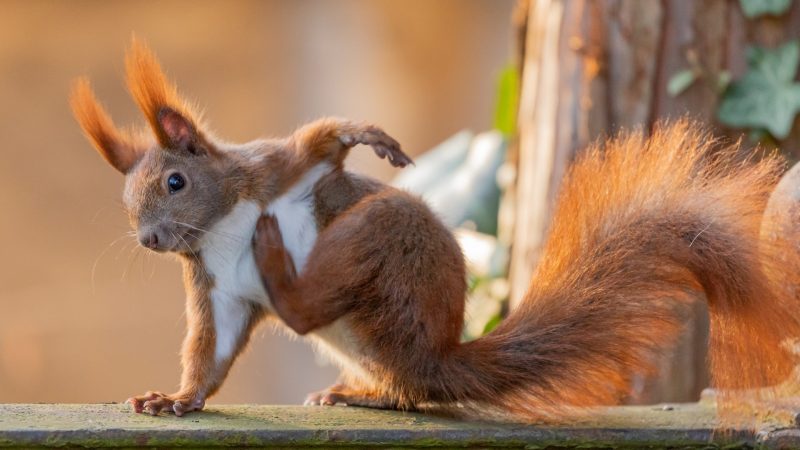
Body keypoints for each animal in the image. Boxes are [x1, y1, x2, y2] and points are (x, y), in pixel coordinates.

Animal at [72, 40, 800, 420]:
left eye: (175, 182)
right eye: (127, 204)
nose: (150, 240)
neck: (225, 223)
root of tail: (437, 354)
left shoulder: (275, 166)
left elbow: (323, 141)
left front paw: (372, 139)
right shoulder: (218, 288)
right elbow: (211, 351)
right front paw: (176, 398)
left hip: (387, 236)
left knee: (325, 315)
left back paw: (281, 262)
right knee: (400, 386)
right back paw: (357, 390)